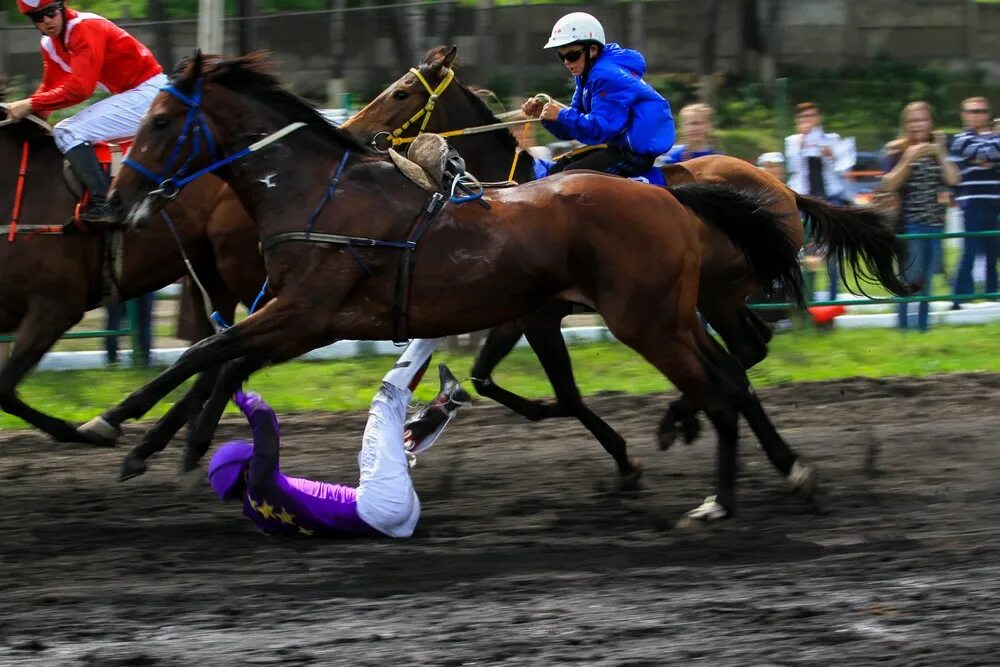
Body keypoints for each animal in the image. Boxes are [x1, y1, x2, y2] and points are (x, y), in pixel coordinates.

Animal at [0, 108, 266, 454]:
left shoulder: (54, 307)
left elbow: (4, 388)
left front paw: (74, 431)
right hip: (211, 275)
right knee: (217, 353)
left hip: (245, 269)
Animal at [88, 52, 812, 520]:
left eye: (159, 122)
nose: (116, 202)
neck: (317, 194)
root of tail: (676, 198)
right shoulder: (310, 321)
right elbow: (220, 359)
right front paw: (166, 441)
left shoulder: (304, 312)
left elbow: (204, 353)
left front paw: (116, 425)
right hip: (678, 314)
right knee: (732, 375)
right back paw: (777, 465)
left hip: (653, 320)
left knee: (722, 385)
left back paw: (718, 494)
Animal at [344, 45, 916, 474]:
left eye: (400, 91)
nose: (351, 132)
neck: (509, 197)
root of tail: (785, 190)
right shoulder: (519, 313)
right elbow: (488, 378)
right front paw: (434, 415)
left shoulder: (536, 314)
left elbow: (561, 394)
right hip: (715, 296)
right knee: (749, 348)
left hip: (719, 294)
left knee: (744, 350)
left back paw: (681, 419)